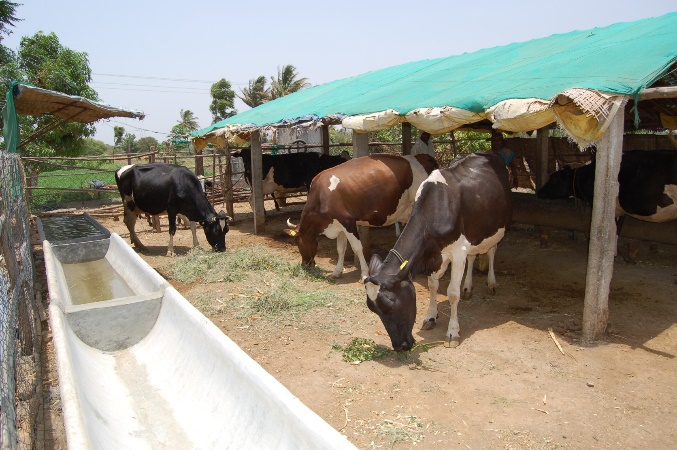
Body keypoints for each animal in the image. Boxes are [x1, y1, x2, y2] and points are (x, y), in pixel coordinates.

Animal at [282, 155, 436, 282]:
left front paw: (364, 274)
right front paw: (336, 272)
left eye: (298, 243)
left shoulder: (348, 222)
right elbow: (341, 249)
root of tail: (422, 157)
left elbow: (357, 248)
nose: (305, 265)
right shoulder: (339, 225)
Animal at [362, 154, 510, 352]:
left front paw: (453, 333)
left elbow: (452, 293)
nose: (400, 346)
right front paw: (430, 317)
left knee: (492, 251)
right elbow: (433, 285)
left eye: (390, 304)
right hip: (474, 235)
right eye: (374, 310)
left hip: (497, 227)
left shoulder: (458, 252)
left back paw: (491, 283)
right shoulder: (434, 254)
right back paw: (468, 287)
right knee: (472, 256)